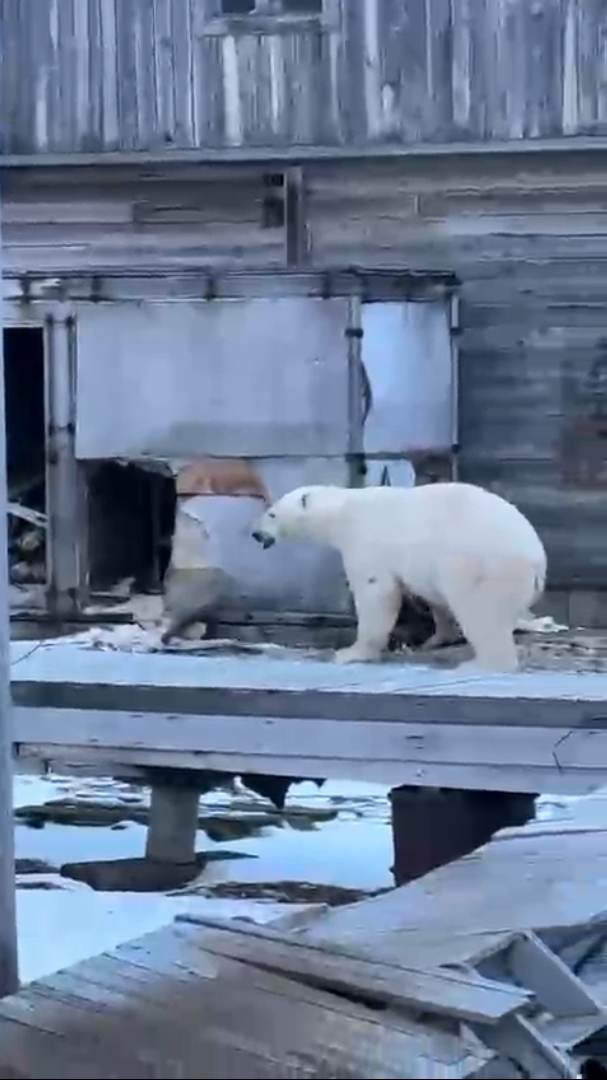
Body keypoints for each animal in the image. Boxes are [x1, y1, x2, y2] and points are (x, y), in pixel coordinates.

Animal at [251, 481, 547, 673]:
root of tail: (537, 563)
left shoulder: (367, 540)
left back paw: (479, 664)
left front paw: (350, 653)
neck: (345, 509)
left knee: (482, 614)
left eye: (272, 513)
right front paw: (438, 638)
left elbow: (376, 592)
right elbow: (434, 598)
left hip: (483, 568)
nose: (256, 534)